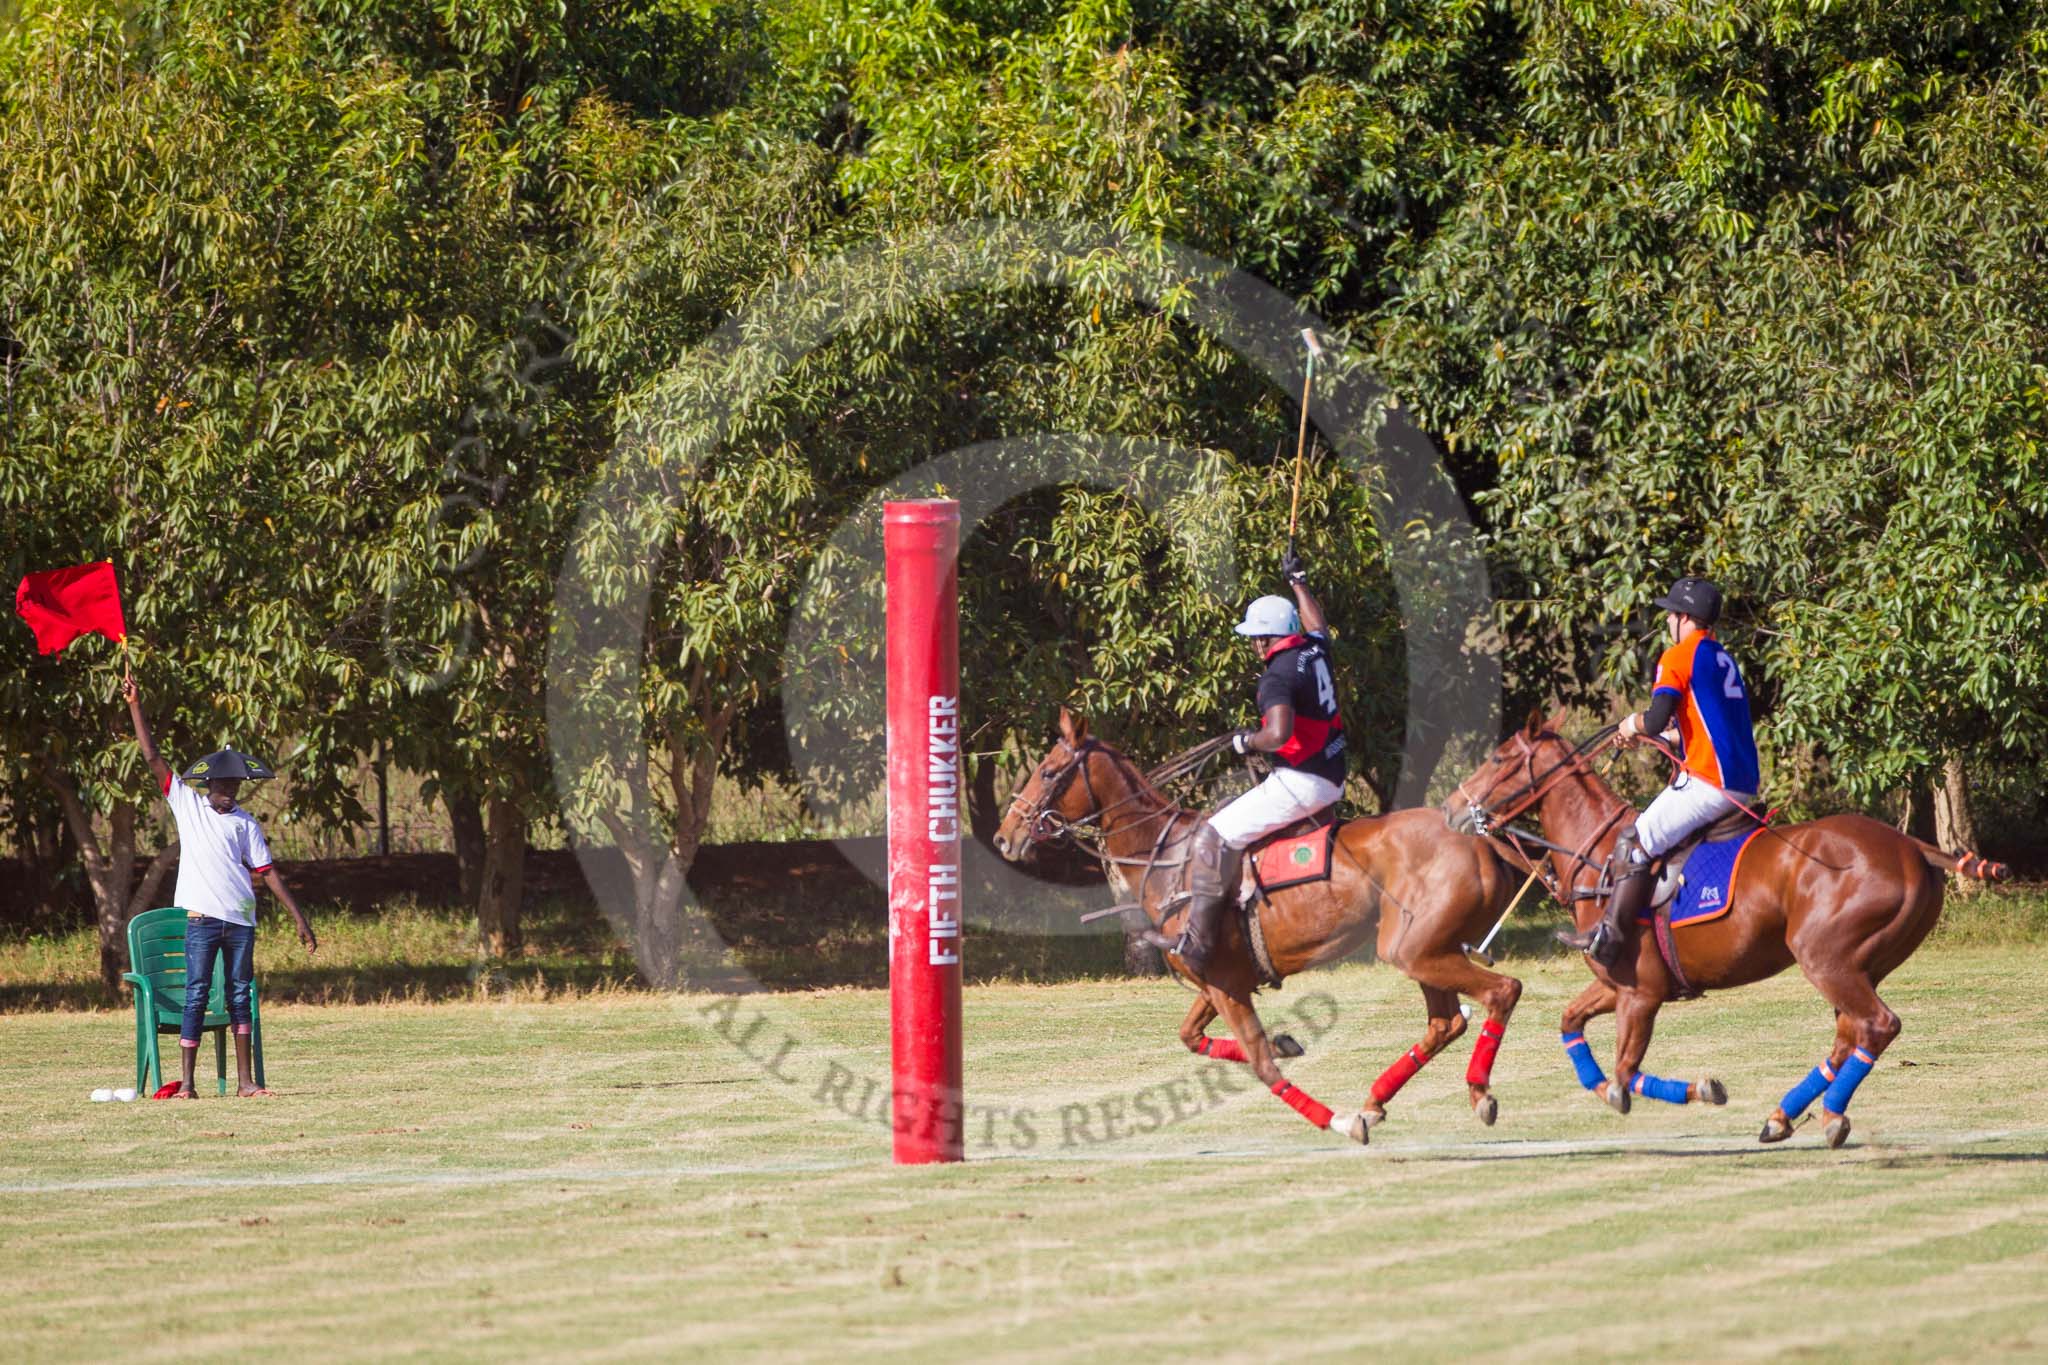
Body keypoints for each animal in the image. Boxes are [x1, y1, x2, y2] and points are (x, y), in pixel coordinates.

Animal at [991, 712, 1523, 1146]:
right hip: (1426, 949)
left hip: (1414, 950)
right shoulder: (1219, 980)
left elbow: (1262, 1066)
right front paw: (1288, 1043)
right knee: (1447, 1022)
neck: (1164, 857)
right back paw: (1377, 1103)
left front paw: (1339, 1121)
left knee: (1501, 991)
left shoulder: (1225, 983)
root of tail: (1481, 842)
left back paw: (1475, 1095)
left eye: (1048, 771)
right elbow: (1192, 1036)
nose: (1004, 837)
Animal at [1449, 712, 2007, 1146]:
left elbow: (1625, 1075)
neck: (1598, 856)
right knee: (1850, 1033)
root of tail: (1913, 847)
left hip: (1825, 958)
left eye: (1499, 758)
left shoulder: (1640, 992)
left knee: (1876, 1025)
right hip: (1863, 963)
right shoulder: (1619, 984)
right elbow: (1570, 1022)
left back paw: (1825, 1117)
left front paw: (1696, 1089)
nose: (1454, 809)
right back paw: (1785, 1117)